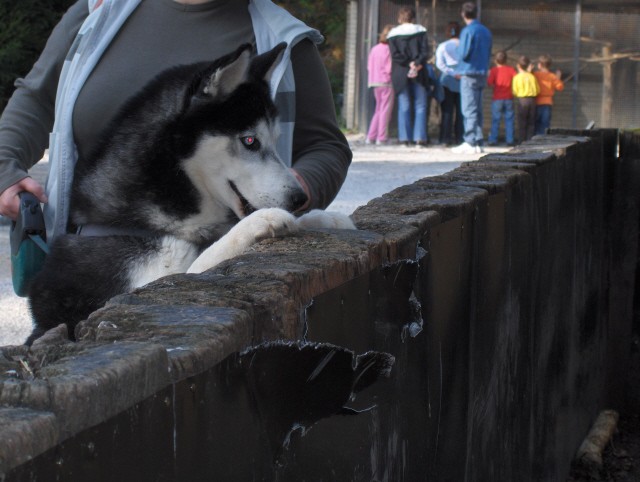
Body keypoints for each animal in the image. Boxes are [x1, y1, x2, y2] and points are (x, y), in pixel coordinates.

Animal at [27, 41, 356, 342]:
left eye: (275, 140)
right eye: (250, 141)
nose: (299, 198)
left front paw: (324, 218)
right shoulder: (141, 291)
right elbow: (212, 252)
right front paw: (262, 220)